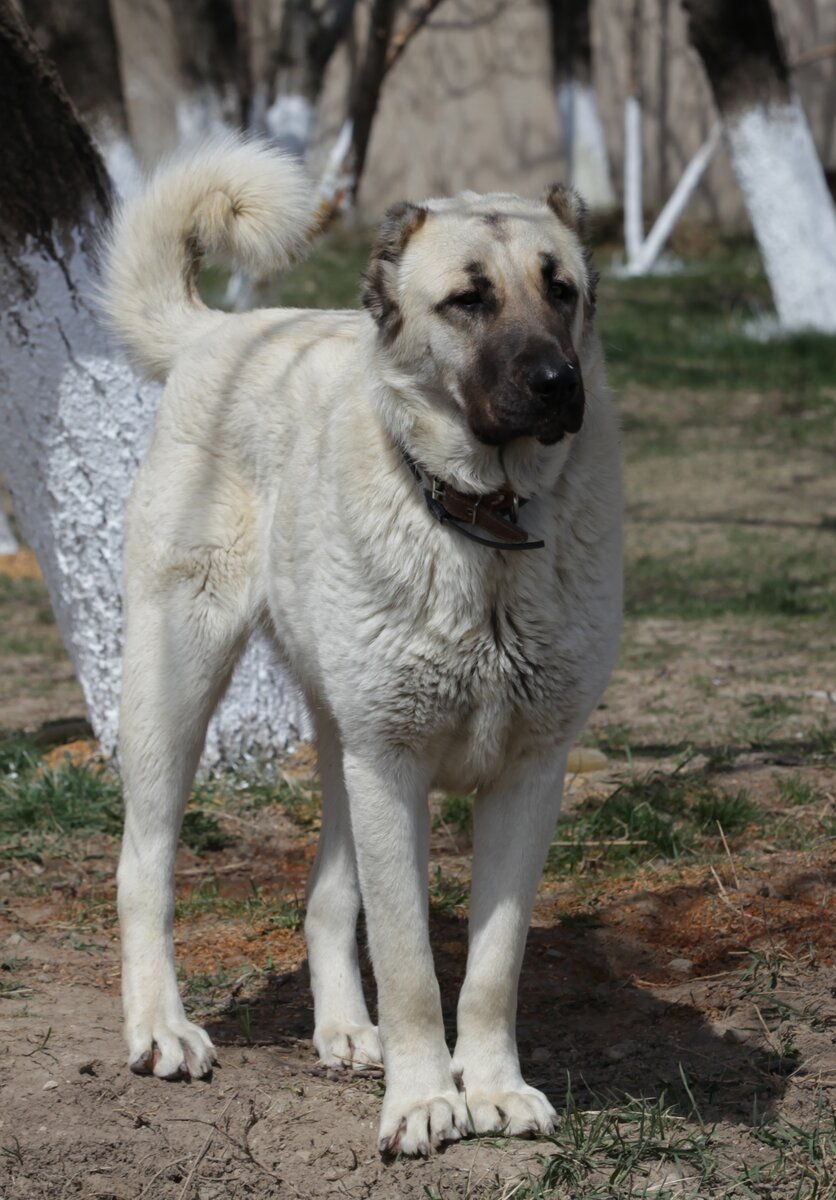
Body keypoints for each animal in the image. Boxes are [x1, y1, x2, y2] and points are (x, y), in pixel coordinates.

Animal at [102, 136, 618, 1156]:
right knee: (144, 867)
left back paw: (343, 1028)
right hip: (176, 688)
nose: (557, 384)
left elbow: (493, 966)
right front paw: (423, 1102)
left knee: (326, 897)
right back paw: (161, 1028)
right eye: (469, 300)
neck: (484, 529)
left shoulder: (528, 776)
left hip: (341, 737)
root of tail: (222, 333)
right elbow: (413, 963)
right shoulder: (394, 768)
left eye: (562, 290)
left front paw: (492, 1087)